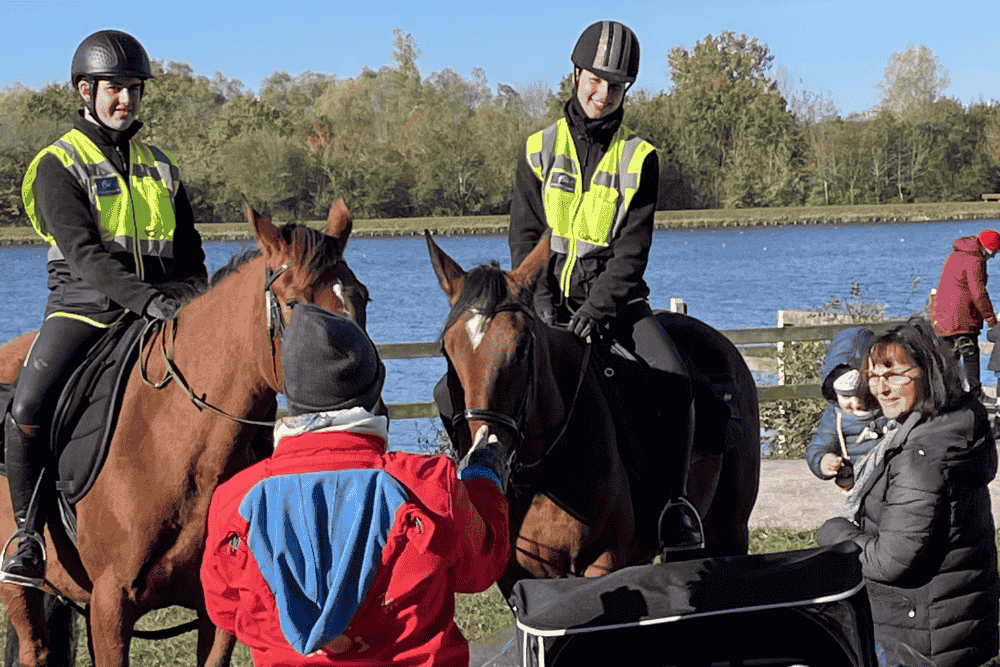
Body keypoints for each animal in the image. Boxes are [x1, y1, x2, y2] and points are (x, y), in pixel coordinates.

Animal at [0, 199, 371, 666]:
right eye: (294, 303)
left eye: (362, 296)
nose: (362, 397)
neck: (175, 448)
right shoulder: (110, 605)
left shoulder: (217, 612)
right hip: (19, 588)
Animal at [425, 232, 760, 595]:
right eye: (447, 350)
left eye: (523, 347)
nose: (486, 454)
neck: (546, 473)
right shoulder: (513, 575)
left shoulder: (602, 562)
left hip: (730, 528)